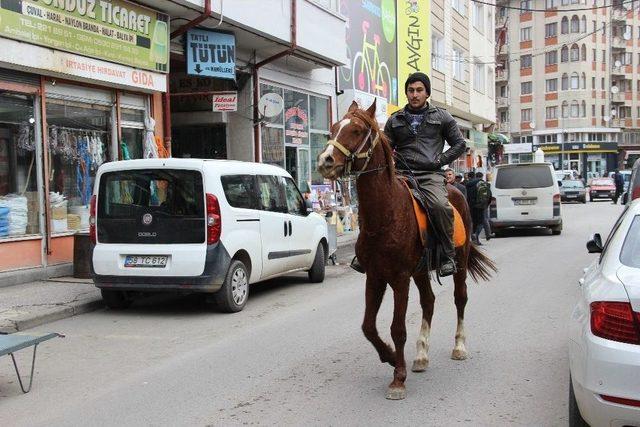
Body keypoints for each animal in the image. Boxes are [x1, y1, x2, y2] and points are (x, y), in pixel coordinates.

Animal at [318, 100, 498, 402]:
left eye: (357, 130)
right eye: (333, 128)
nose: (325, 161)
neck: (385, 215)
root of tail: (456, 190)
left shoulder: (399, 278)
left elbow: (397, 328)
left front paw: (398, 379)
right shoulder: (375, 277)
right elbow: (368, 326)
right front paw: (390, 357)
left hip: (458, 263)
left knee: (460, 299)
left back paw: (459, 347)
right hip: (420, 272)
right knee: (429, 302)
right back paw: (421, 355)